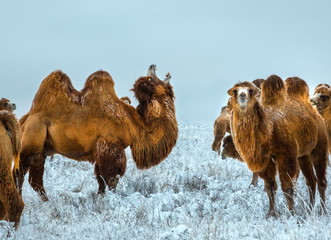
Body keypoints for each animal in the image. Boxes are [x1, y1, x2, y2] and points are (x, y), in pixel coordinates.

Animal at [14, 64, 179, 201]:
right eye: (152, 79)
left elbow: (101, 180)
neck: (135, 123)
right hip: (29, 144)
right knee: (18, 175)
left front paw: (99, 198)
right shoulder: (111, 146)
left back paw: (47, 202)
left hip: (40, 152)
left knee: (35, 180)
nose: (154, 66)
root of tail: (23, 120)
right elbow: (111, 179)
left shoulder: (101, 150)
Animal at [228, 76, 330, 217]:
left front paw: (292, 213)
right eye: (235, 91)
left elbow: (287, 187)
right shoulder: (267, 161)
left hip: (319, 146)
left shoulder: (285, 155)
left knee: (321, 180)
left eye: (250, 90)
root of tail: (316, 114)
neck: (269, 129)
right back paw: (309, 209)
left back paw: (323, 211)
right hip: (303, 155)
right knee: (311, 181)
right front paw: (271, 213)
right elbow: (269, 186)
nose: (242, 95)